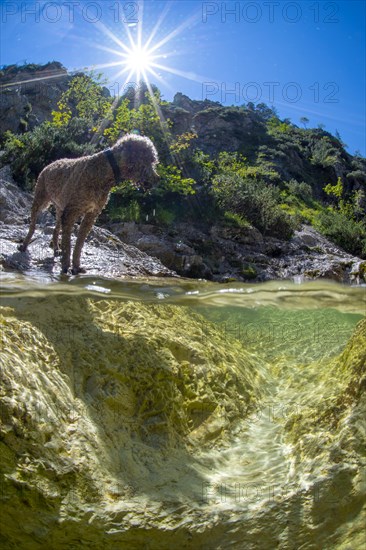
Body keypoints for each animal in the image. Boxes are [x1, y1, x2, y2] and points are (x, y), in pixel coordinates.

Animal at [18, 135, 159, 274]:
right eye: (149, 160)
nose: (157, 179)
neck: (105, 171)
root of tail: (51, 163)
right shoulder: (71, 212)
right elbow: (68, 244)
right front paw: (65, 265)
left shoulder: (91, 214)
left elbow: (79, 244)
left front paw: (76, 266)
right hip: (40, 200)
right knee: (32, 226)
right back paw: (24, 245)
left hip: (60, 207)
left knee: (56, 227)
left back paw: (56, 248)